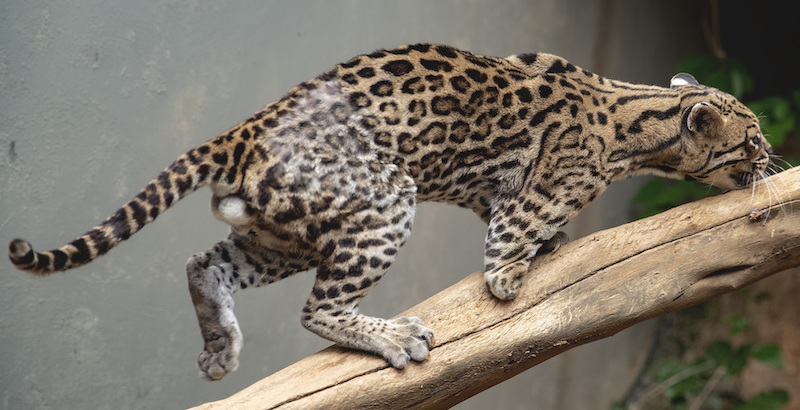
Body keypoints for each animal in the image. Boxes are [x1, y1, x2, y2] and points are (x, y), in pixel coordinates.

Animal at [6, 43, 772, 380]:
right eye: (754, 139)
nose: (773, 160)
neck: (642, 118)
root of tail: (245, 129)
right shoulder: (522, 207)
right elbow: (505, 261)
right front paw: (526, 269)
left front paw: (553, 247)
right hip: (383, 203)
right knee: (316, 310)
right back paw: (394, 337)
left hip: (282, 231)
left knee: (203, 262)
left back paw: (221, 348)